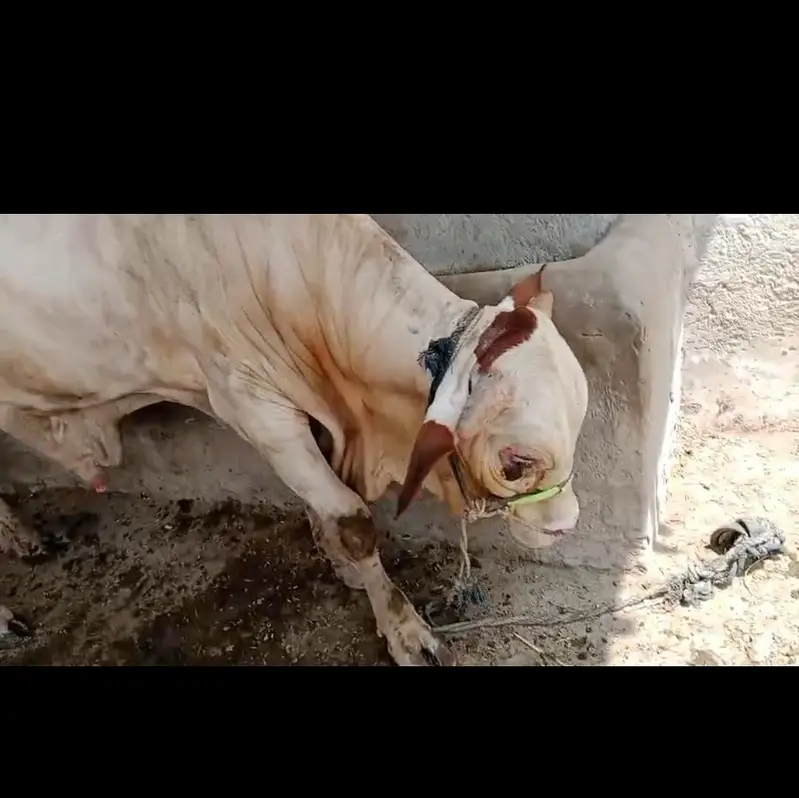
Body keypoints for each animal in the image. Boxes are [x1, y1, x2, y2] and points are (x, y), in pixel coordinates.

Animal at [0, 214, 588, 665]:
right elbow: (352, 520)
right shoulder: (256, 410)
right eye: (515, 462)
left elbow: (327, 507)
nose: (566, 526)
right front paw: (405, 631)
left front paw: (342, 566)